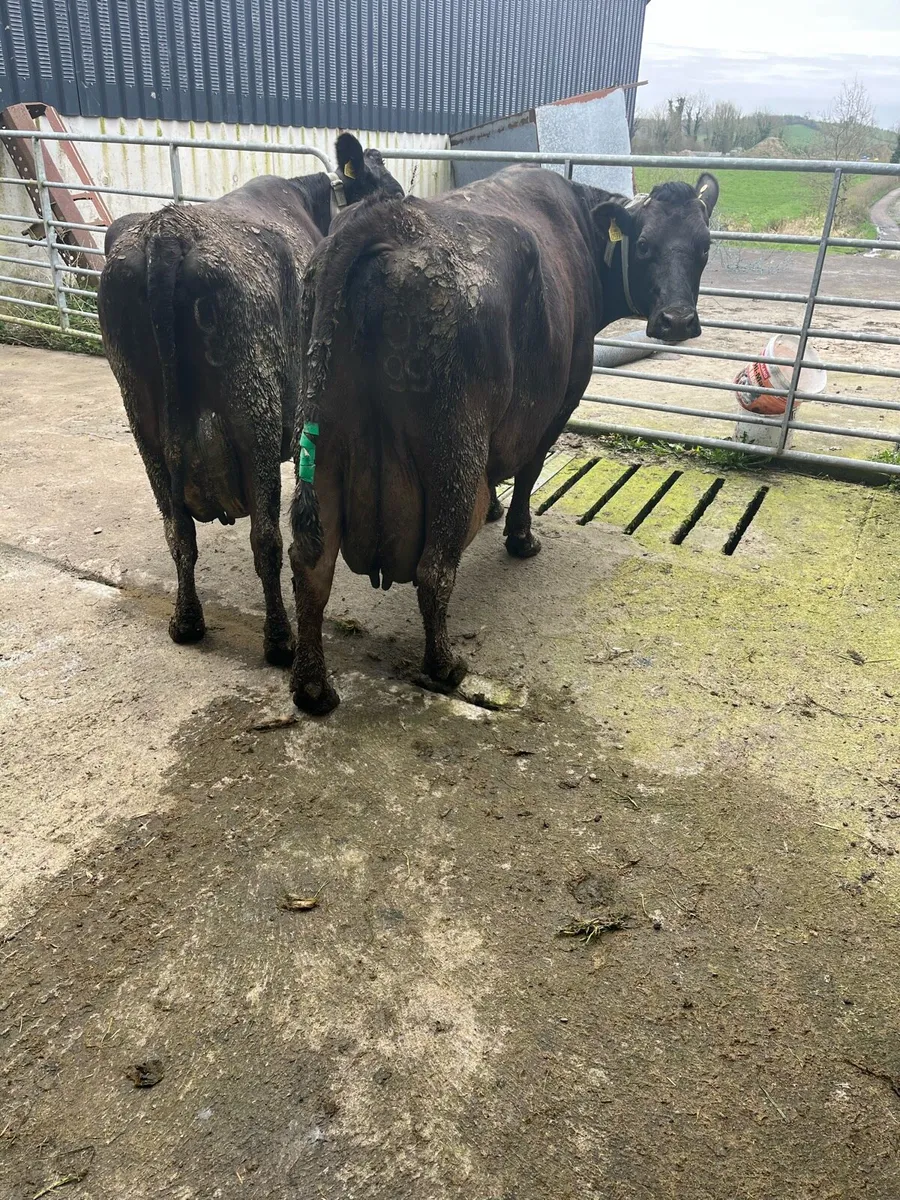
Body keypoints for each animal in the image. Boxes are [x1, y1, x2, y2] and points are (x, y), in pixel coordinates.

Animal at [98, 134, 403, 666]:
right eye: (391, 193)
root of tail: (166, 231)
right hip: (253, 408)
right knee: (265, 538)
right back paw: (279, 640)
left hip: (143, 421)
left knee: (178, 532)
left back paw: (186, 621)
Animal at [287, 166, 719, 713]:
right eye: (643, 246)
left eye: (705, 247)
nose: (678, 320)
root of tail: (386, 219)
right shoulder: (559, 402)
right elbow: (529, 472)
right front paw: (520, 535)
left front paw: (493, 508)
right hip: (453, 448)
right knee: (433, 568)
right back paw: (444, 666)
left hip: (320, 437)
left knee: (310, 563)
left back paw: (313, 687)